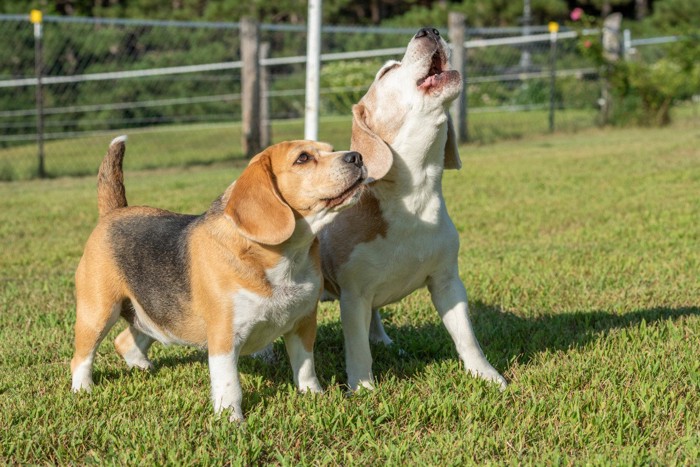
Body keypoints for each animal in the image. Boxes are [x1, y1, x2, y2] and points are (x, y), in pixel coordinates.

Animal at [71, 135, 366, 420]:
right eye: (303, 158)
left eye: (331, 148)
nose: (357, 157)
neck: (282, 259)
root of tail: (114, 212)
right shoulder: (224, 337)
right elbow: (230, 385)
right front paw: (232, 420)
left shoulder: (303, 323)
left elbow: (306, 369)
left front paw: (314, 397)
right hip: (98, 312)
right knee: (81, 358)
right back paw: (83, 390)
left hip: (154, 314)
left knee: (125, 342)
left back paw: (143, 367)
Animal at [320, 25, 506, 392]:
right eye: (387, 72)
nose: (429, 30)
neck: (414, 195)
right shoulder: (353, 294)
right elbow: (357, 349)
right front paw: (363, 388)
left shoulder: (447, 282)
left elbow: (467, 337)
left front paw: (487, 375)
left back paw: (383, 340)